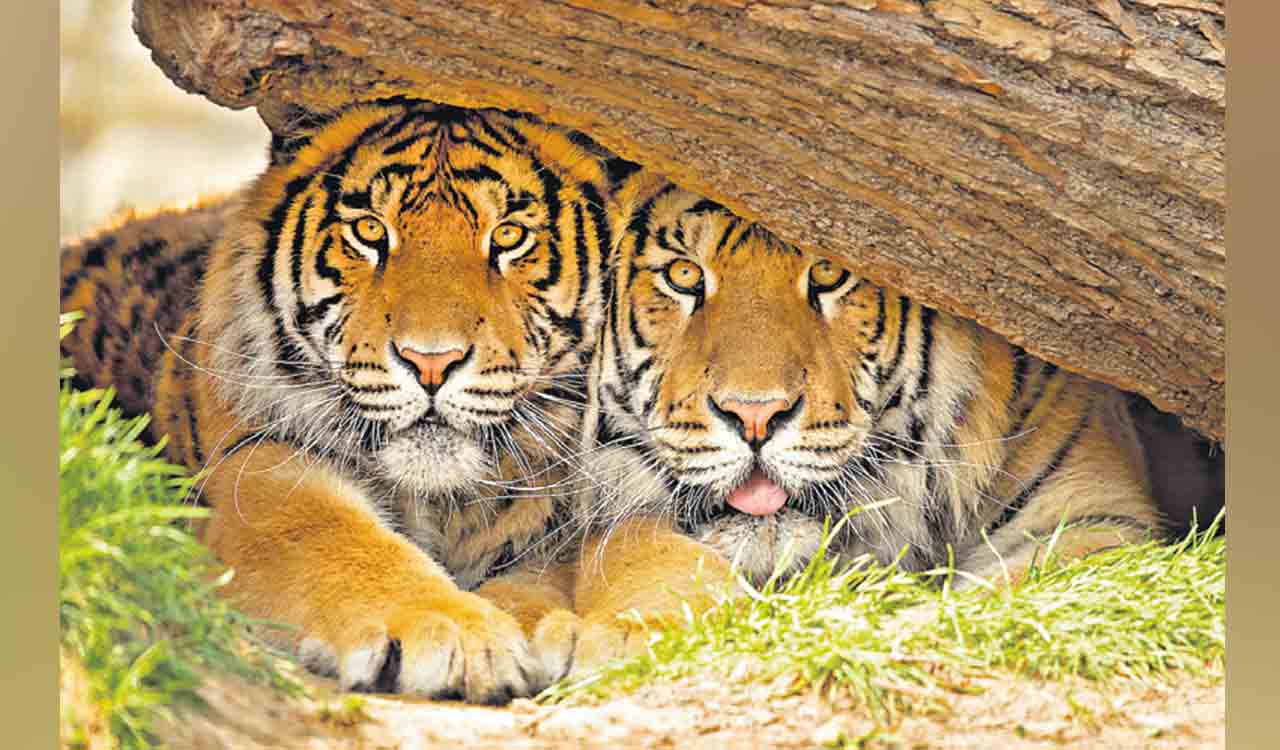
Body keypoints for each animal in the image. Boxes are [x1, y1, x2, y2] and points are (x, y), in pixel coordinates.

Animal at [59, 97, 637, 703]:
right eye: (369, 231)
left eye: (507, 237)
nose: (431, 362)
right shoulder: (260, 468)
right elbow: (338, 539)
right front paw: (454, 632)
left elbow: (540, 578)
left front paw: (556, 631)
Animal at [556, 173, 1222, 668]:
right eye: (684, 275)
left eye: (829, 273)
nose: (755, 414)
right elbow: (638, 548)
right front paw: (638, 633)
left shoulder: (1091, 518)